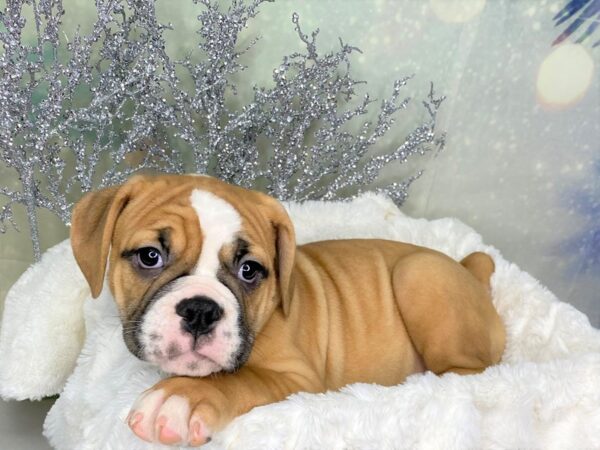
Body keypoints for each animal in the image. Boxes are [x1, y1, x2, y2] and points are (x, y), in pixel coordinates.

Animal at [69, 174, 506, 444]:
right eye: (150, 256)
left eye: (249, 270)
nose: (200, 310)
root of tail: (471, 270)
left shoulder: (299, 380)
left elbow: (238, 380)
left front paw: (183, 396)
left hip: (419, 275)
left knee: (467, 374)